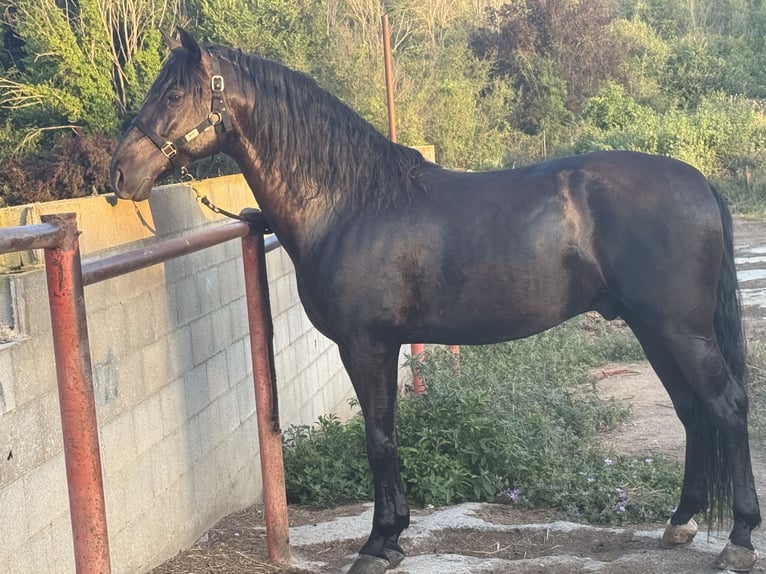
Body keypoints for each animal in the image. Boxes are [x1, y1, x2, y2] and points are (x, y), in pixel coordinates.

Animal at [111, 29, 764, 572]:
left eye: (173, 93)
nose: (119, 173)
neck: (350, 203)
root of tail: (698, 181)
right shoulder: (381, 346)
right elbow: (387, 434)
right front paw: (394, 535)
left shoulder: (367, 346)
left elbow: (378, 439)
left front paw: (379, 545)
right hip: (654, 330)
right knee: (693, 411)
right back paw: (680, 523)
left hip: (680, 331)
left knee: (728, 406)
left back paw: (738, 539)